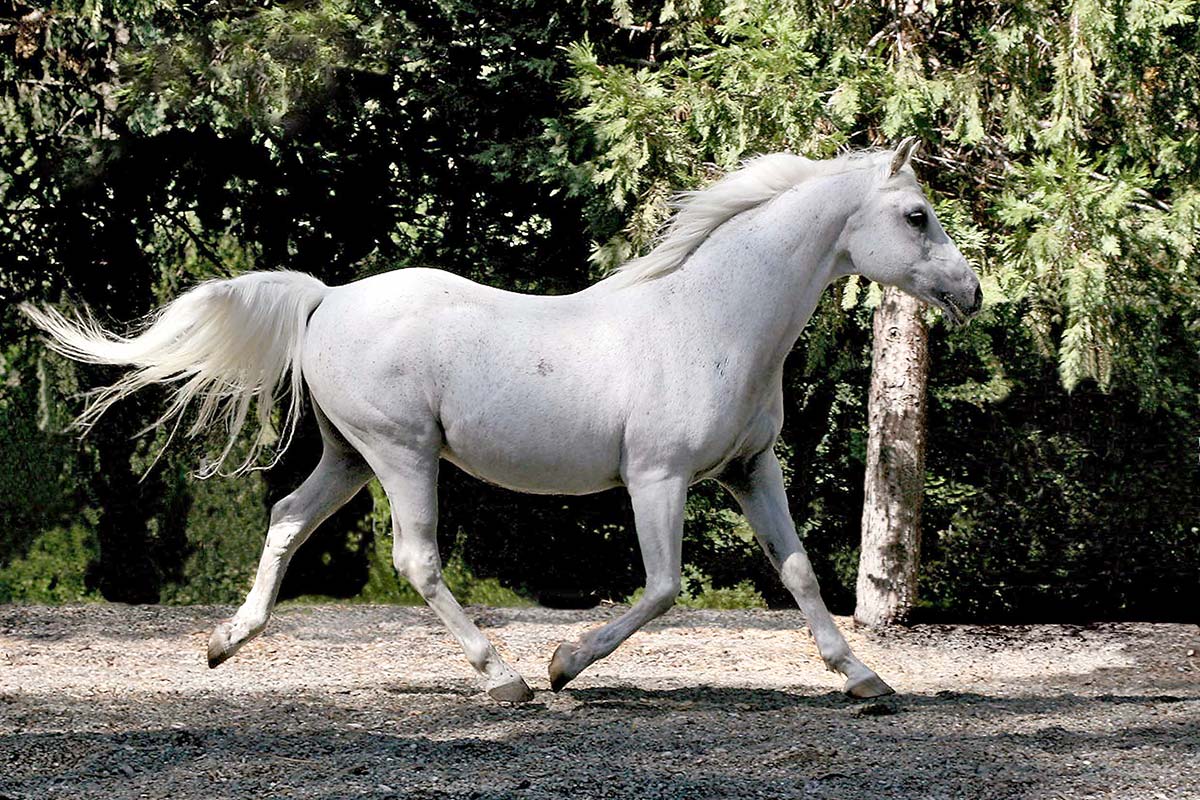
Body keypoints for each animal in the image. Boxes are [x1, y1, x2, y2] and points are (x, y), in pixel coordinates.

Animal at [23, 140, 979, 705]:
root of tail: (326, 298)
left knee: (288, 520)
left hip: (350, 457)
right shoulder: (657, 478)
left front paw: (865, 678)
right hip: (402, 455)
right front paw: (563, 665)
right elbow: (664, 588)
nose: (972, 292)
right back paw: (505, 676)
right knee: (416, 559)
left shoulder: (752, 470)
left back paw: (226, 644)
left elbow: (801, 573)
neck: (712, 317)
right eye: (916, 215)